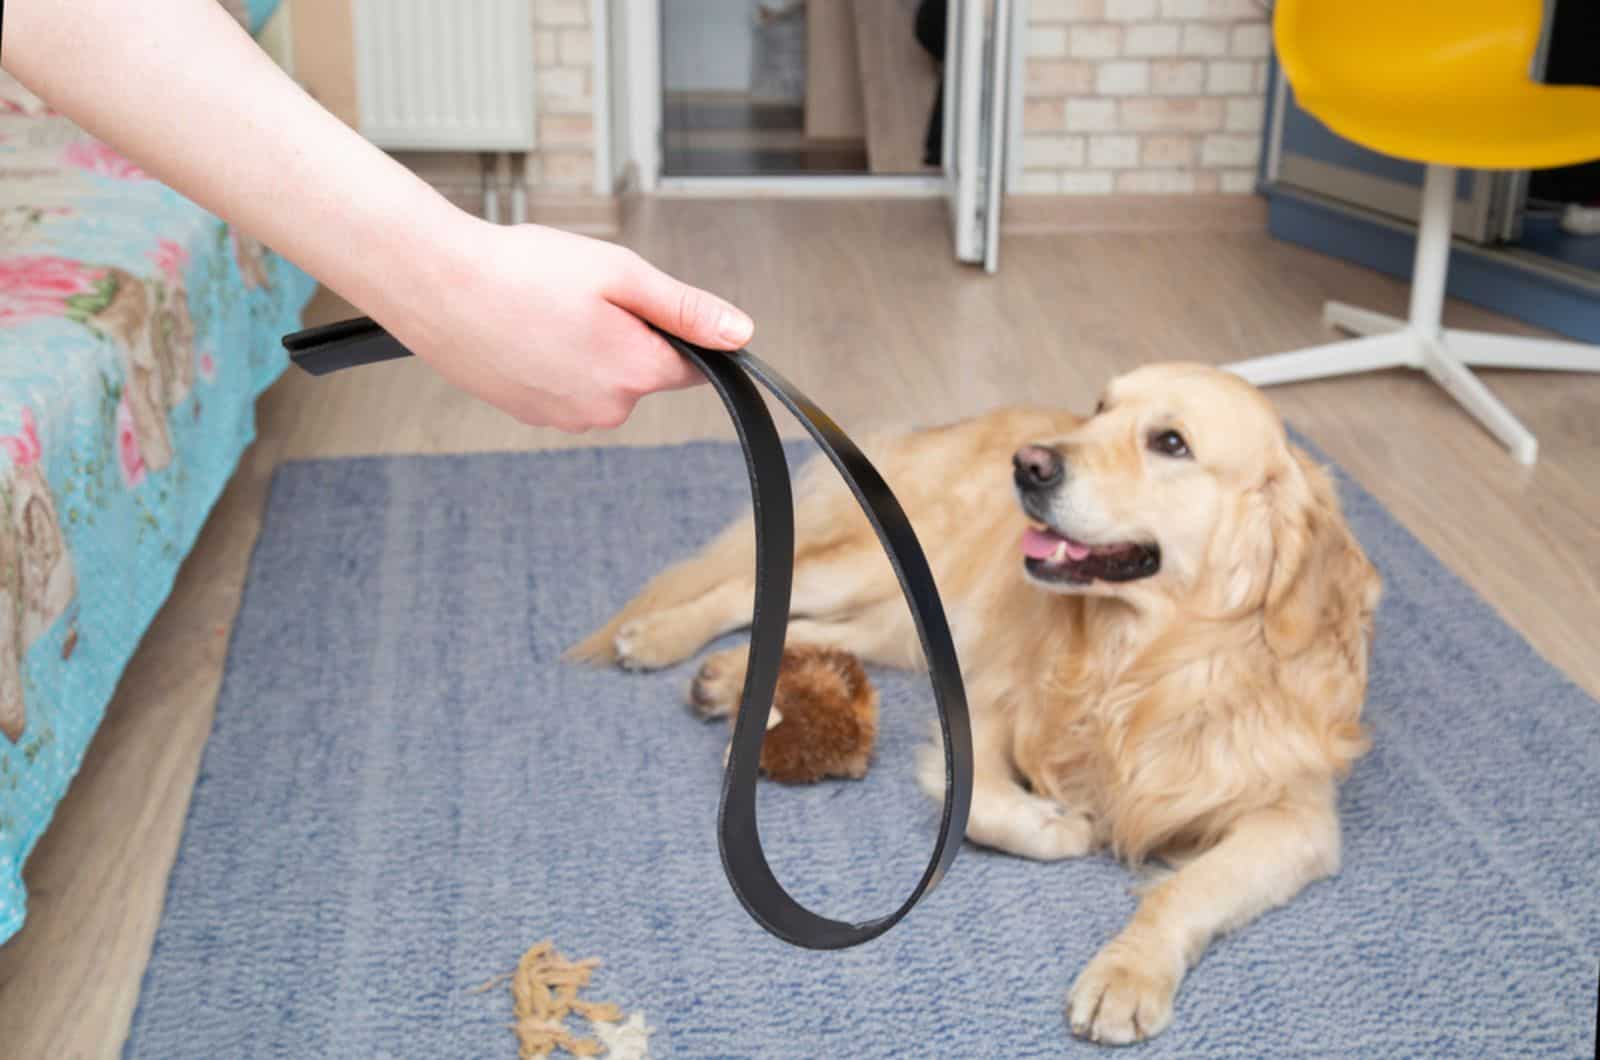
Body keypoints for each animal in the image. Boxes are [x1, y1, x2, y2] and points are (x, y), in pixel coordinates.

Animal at [569, 363, 1382, 1043]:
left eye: (1171, 443)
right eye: (1100, 408)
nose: (1029, 464)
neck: (1143, 666)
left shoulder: (1298, 820)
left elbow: (1186, 890)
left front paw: (1127, 972)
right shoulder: (983, 710)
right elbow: (985, 801)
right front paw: (1059, 824)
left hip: (910, 619)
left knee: (821, 632)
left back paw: (726, 679)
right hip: (889, 566)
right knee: (751, 590)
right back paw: (661, 637)